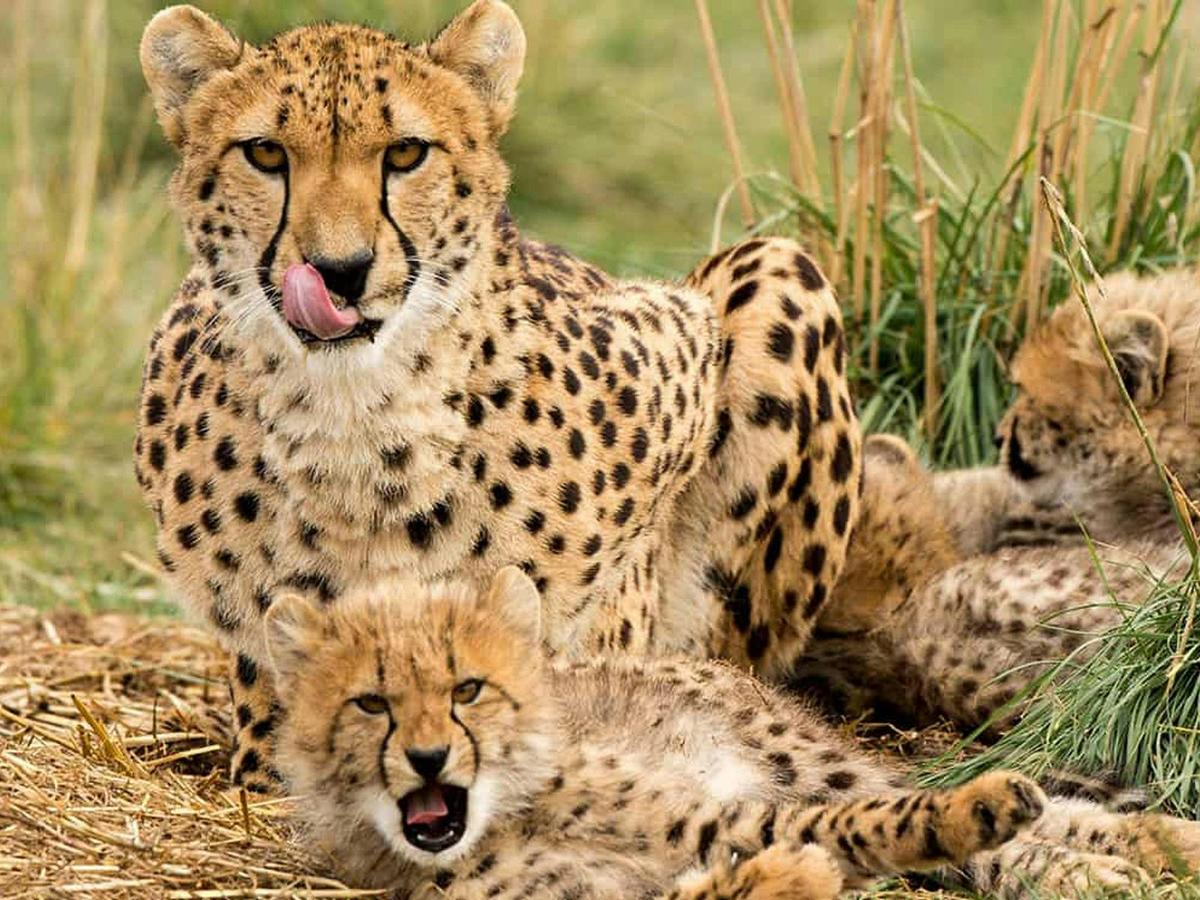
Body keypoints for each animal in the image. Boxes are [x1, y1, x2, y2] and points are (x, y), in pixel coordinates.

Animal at [135, 1, 862, 794]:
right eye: (265, 154)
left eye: (405, 153)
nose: (339, 270)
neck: (355, 415)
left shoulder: (678, 337)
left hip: (780, 266)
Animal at [263, 565, 1200, 898]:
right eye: (372, 704)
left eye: (467, 690)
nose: (428, 759)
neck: (502, 821)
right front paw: (788, 877)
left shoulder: (720, 813)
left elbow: (874, 825)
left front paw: (978, 808)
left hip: (804, 760)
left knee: (979, 815)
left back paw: (1143, 848)